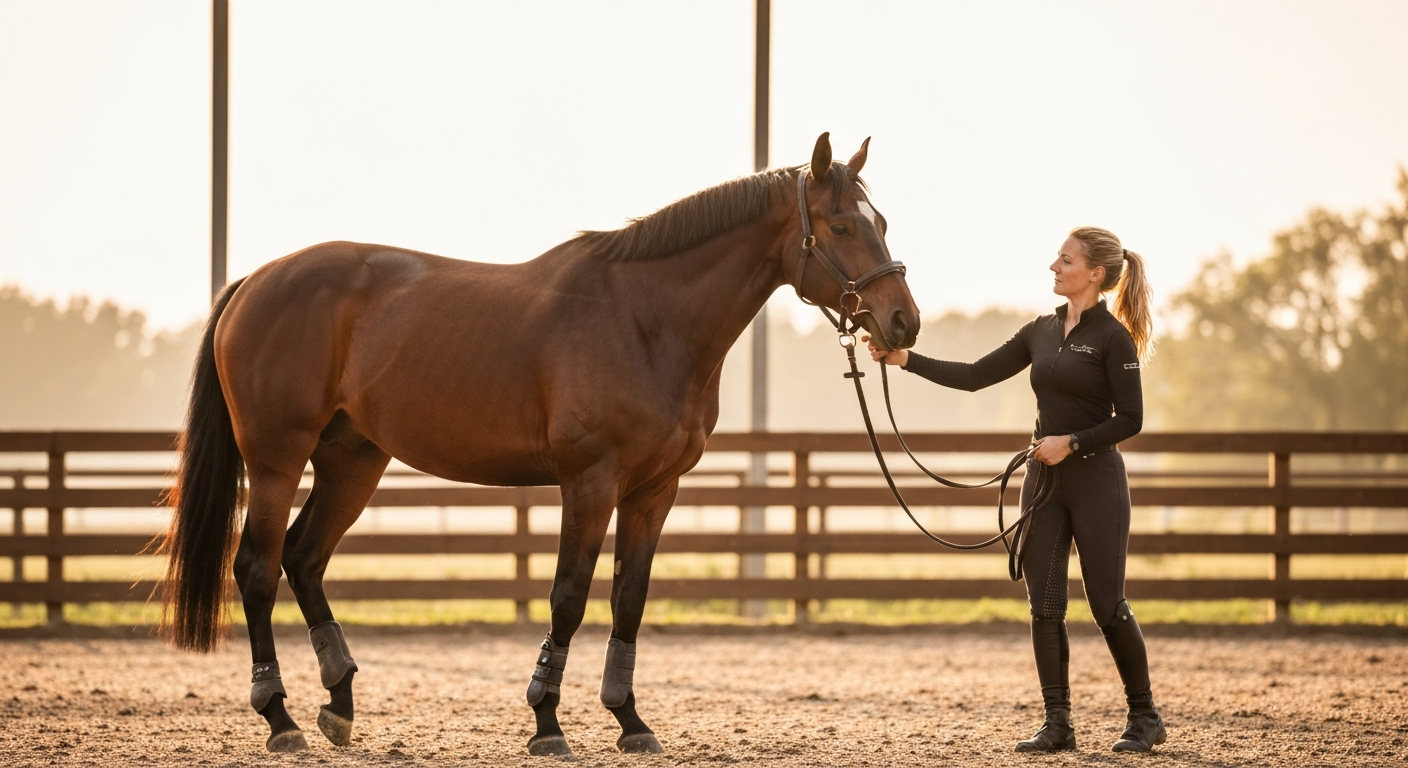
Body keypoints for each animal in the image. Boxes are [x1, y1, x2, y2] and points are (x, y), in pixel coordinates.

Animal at [159, 133, 919, 755]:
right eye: (842, 224)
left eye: (881, 222)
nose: (902, 322)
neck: (647, 319)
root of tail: (253, 283)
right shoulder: (590, 482)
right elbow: (568, 597)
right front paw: (548, 723)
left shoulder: (654, 490)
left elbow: (628, 600)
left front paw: (630, 722)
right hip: (276, 459)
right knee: (258, 568)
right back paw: (279, 717)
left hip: (353, 461)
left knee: (304, 558)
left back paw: (339, 704)